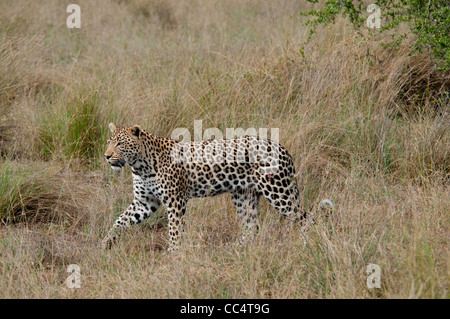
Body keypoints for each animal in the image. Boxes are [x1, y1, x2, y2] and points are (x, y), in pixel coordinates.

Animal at [103, 124, 310, 251]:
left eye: (120, 144)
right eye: (108, 142)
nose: (106, 156)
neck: (140, 165)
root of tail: (281, 147)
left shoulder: (175, 200)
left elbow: (174, 229)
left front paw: (173, 253)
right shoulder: (144, 202)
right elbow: (121, 220)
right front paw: (106, 242)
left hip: (278, 192)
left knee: (306, 218)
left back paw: (309, 243)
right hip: (244, 195)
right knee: (252, 228)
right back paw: (234, 249)